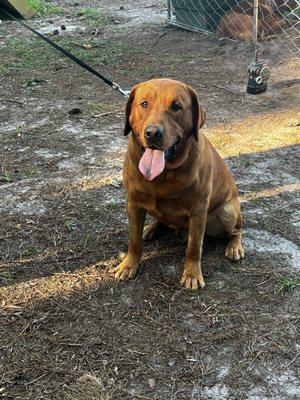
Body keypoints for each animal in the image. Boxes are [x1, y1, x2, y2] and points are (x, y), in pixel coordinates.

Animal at [112, 79, 244, 290]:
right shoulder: (132, 203)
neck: (163, 175)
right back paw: (151, 229)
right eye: (144, 104)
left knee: (237, 229)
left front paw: (192, 274)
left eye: (176, 107)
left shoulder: (198, 211)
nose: (152, 133)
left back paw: (234, 246)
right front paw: (129, 264)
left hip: (228, 211)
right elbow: (134, 241)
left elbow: (194, 247)